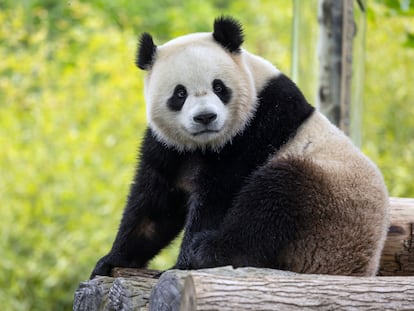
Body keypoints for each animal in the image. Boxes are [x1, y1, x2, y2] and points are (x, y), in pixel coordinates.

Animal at [90, 16, 388, 278]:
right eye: (180, 93)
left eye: (219, 87)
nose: (205, 117)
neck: (205, 144)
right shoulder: (169, 147)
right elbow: (155, 205)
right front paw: (111, 261)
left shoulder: (256, 128)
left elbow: (218, 196)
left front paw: (183, 263)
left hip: (328, 209)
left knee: (274, 199)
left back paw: (208, 251)